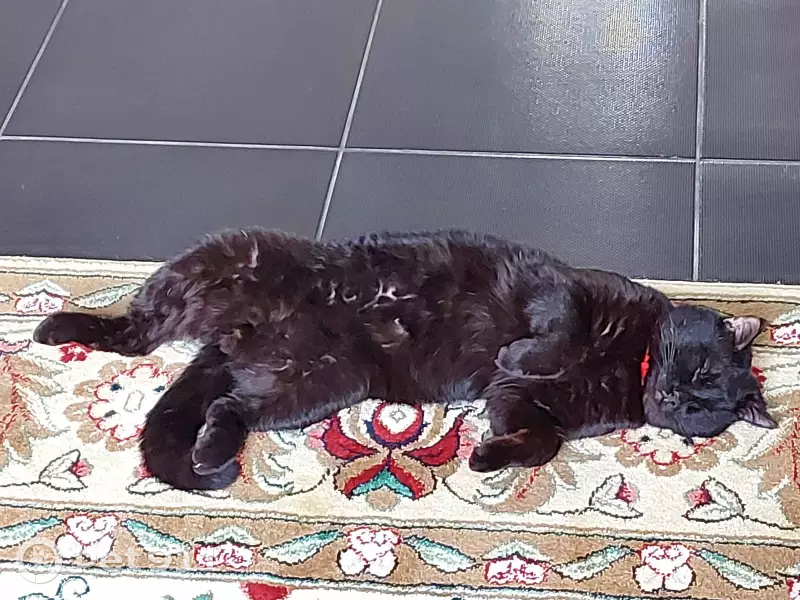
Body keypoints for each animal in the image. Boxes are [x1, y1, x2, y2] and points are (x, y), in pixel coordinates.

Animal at [32, 229, 776, 490]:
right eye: (703, 371)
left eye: (705, 408)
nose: (677, 399)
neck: (632, 361)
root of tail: (240, 336)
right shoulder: (562, 289)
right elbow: (556, 334)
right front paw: (520, 350)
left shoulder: (522, 403)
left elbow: (540, 443)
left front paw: (486, 457)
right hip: (216, 269)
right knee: (135, 330)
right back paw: (56, 324)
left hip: (316, 384)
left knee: (230, 406)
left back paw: (213, 450)